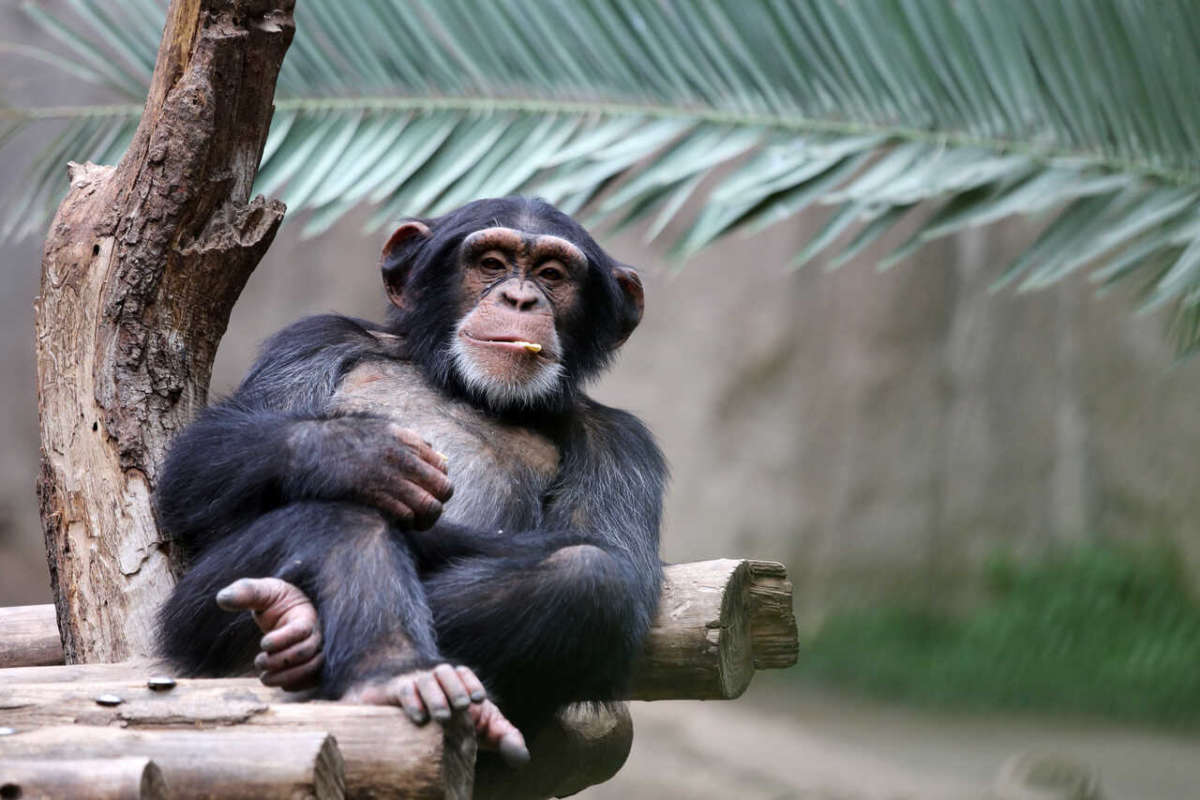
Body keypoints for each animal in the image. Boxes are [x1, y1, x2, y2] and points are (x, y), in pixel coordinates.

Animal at [153, 194, 667, 762]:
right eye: (491, 263)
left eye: (552, 274)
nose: (519, 298)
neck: (466, 386)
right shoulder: (313, 342)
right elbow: (194, 466)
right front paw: (359, 456)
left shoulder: (620, 444)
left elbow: (613, 557)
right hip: (193, 612)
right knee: (343, 520)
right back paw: (380, 663)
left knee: (588, 576)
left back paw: (319, 640)